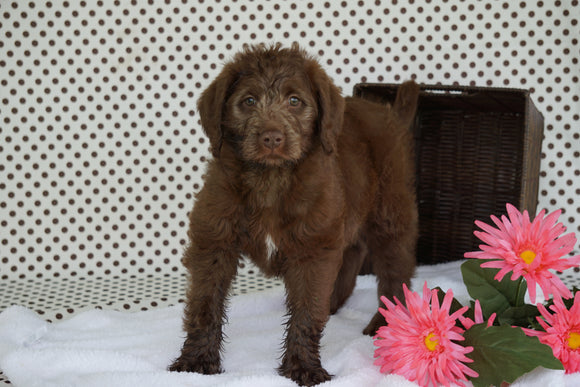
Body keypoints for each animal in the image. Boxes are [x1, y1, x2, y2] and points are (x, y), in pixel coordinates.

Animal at [170, 44, 420, 386]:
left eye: (294, 101)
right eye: (248, 101)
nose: (272, 138)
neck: (270, 178)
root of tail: (390, 113)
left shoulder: (312, 248)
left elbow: (306, 310)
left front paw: (303, 367)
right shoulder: (214, 240)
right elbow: (204, 304)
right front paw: (195, 361)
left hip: (389, 209)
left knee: (395, 269)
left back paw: (384, 323)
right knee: (352, 251)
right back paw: (334, 303)